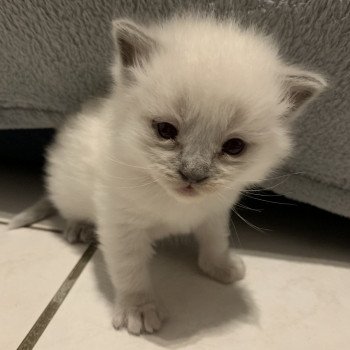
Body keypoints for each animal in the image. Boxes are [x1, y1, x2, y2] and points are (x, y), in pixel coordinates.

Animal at [8, 15, 326, 334]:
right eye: (165, 130)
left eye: (234, 147)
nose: (193, 175)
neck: (174, 202)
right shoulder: (121, 225)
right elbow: (130, 271)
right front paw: (138, 310)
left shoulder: (215, 210)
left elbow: (215, 241)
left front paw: (221, 266)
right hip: (68, 190)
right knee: (69, 210)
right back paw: (79, 228)